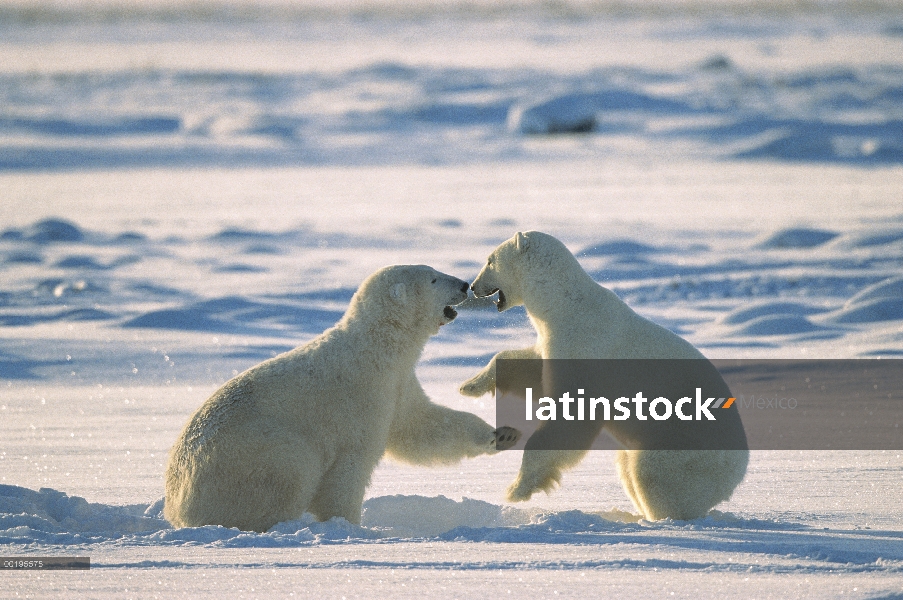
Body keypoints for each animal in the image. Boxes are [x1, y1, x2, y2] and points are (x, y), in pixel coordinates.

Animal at [166, 264, 524, 532]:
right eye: (434, 278)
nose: (464, 285)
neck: (376, 347)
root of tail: (176, 503)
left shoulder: (397, 384)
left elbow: (419, 426)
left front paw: (501, 434)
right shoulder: (361, 395)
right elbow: (350, 466)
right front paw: (349, 525)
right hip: (251, 454)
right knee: (290, 468)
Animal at [460, 232, 748, 524]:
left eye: (490, 260)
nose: (473, 286)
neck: (564, 304)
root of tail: (738, 472)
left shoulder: (584, 344)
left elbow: (571, 415)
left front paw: (516, 490)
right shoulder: (555, 342)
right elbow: (530, 370)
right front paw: (469, 386)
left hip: (684, 444)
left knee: (653, 475)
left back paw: (660, 518)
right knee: (627, 466)